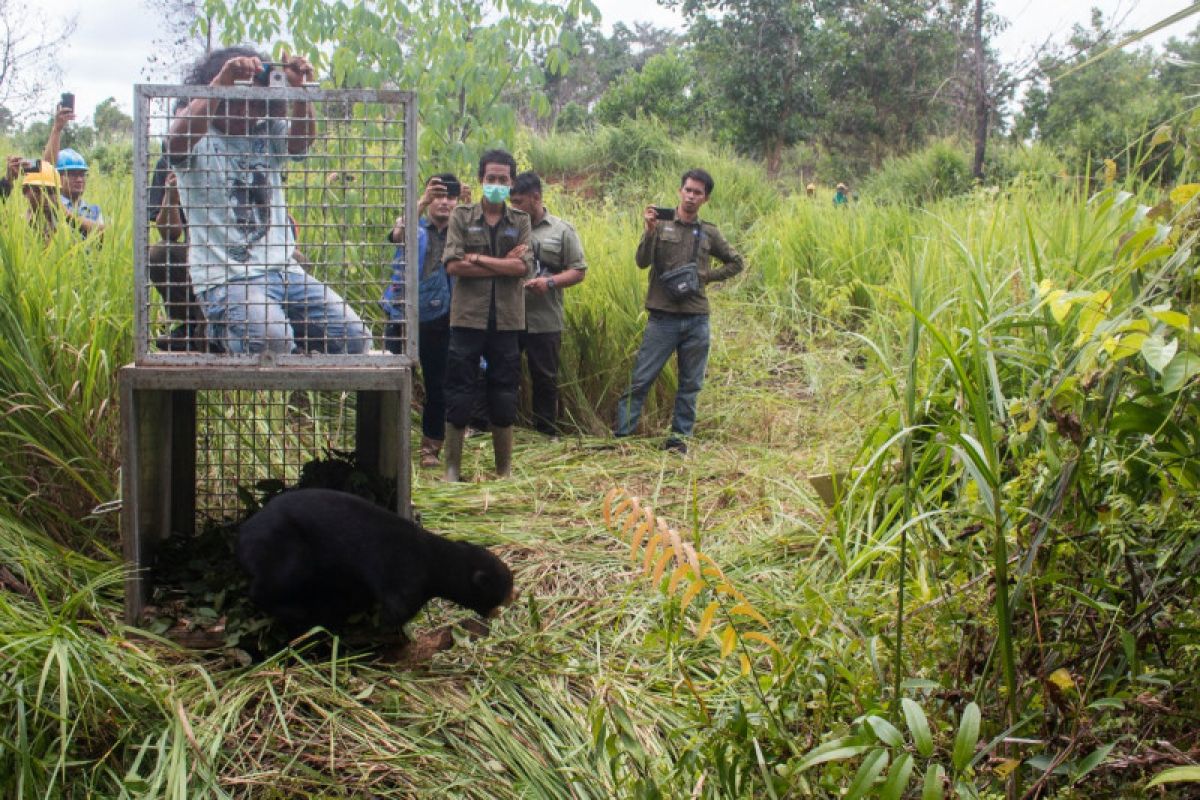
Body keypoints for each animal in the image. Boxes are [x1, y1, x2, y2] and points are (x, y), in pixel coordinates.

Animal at [236, 489, 513, 638]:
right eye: (502, 592)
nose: (512, 598)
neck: (431, 556)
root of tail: (242, 534)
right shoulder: (405, 579)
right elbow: (394, 611)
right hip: (289, 554)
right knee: (263, 589)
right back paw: (296, 612)